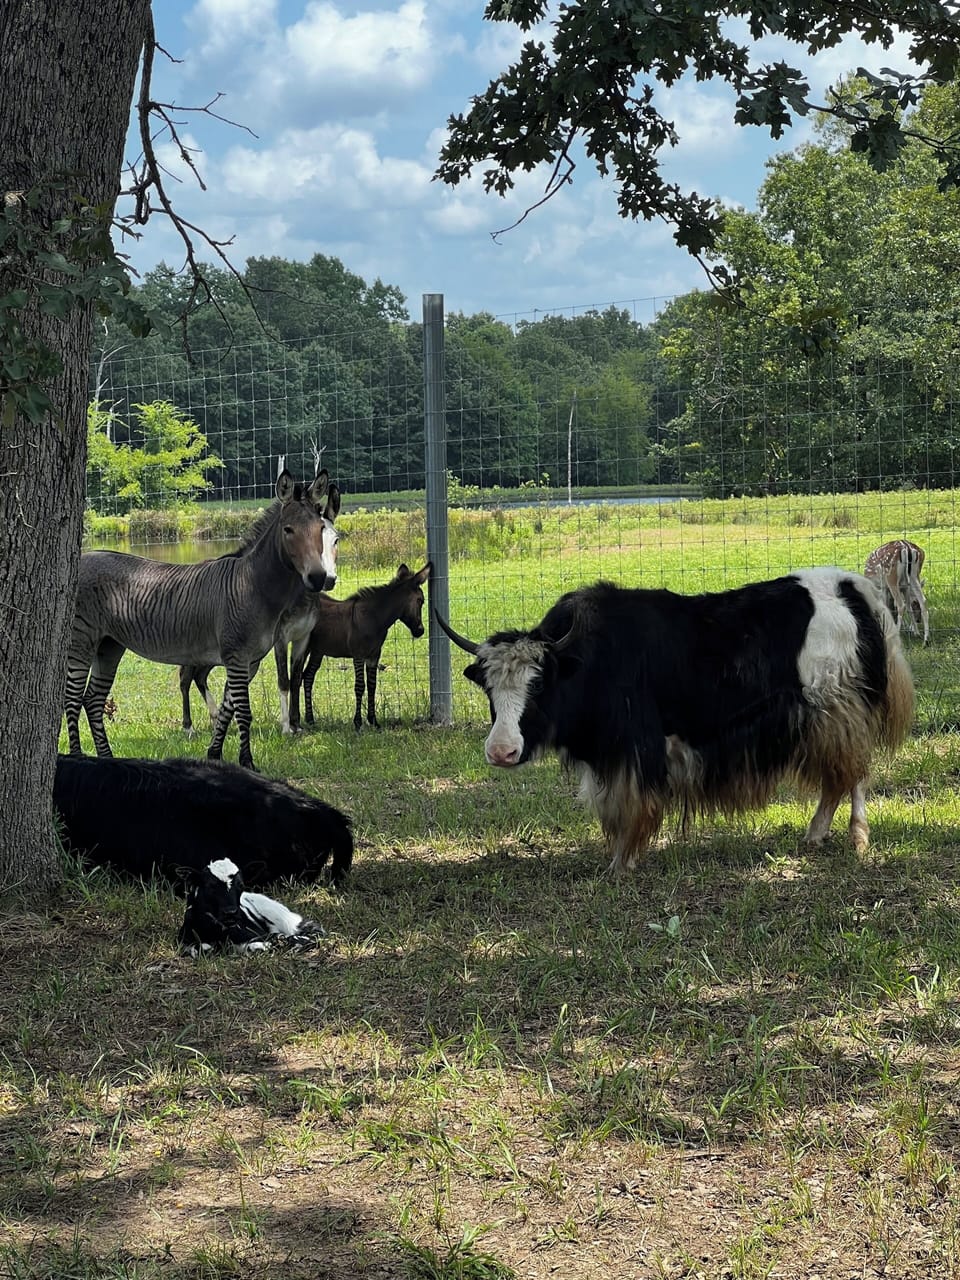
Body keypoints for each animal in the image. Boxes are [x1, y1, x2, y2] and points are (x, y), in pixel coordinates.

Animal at [435, 568, 914, 873]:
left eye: (537, 685)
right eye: (488, 689)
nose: (501, 752)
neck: (584, 661)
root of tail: (851, 588)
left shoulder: (636, 745)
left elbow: (631, 801)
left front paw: (623, 862)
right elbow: (609, 802)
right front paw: (618, 854)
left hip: (839, 707)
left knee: (852, 772)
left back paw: (854, 837)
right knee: (839, 776)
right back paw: (817, 835)